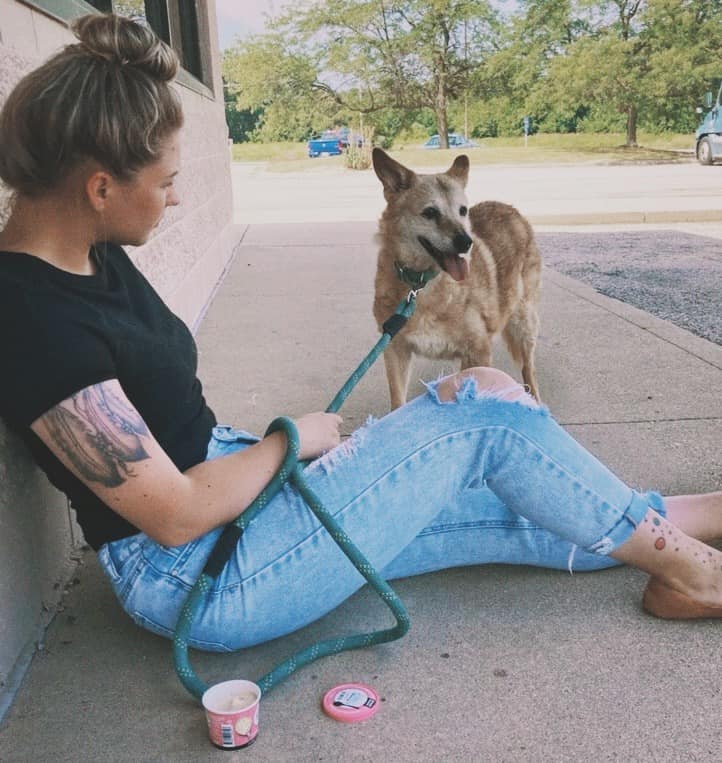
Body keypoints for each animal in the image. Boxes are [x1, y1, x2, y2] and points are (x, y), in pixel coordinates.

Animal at [372, 151, 540, 412]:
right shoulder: (395, 349)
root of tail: (508, 207)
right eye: (430, 212)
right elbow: (398, 401)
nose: (466, 242)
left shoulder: (478, 351)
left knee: (528, 370)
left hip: (523, 321)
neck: (421, 285)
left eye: (463, 210)